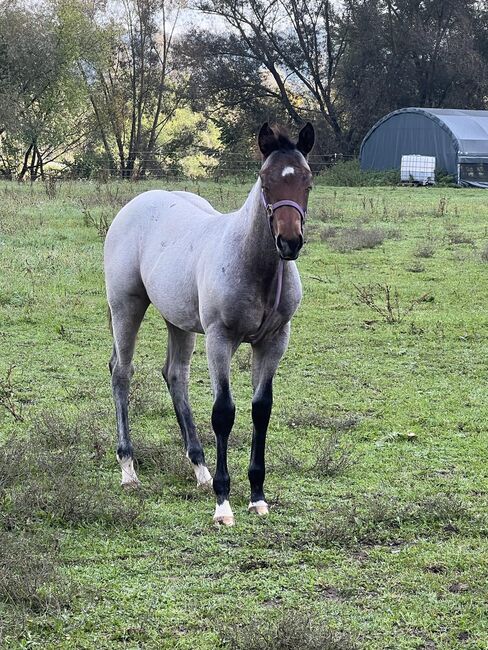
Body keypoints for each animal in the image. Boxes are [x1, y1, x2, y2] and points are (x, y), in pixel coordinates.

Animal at [104, 123, 314, 528]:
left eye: (308, 181)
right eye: (265, 181)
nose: (289, 242)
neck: (256, 267)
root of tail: (136, 203)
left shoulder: (274, 340)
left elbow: (261, 408)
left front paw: (257, 496)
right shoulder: (220, 338)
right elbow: (224, 412)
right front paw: (223, 503)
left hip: (178, 320)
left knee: (175, 374)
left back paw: (198, 468)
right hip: (125, 305)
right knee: (121, 371)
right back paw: (129, 470)